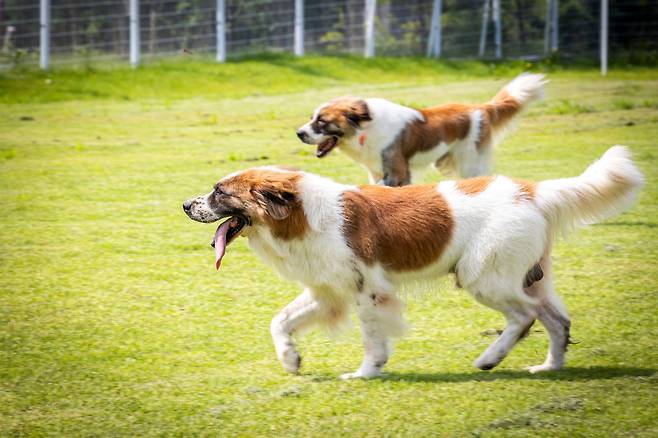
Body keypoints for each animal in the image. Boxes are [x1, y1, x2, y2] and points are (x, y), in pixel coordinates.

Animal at [183, 146, 640, 376]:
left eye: (219, 192)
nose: (186, 205)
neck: (303, 215)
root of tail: (532, 191)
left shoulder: (369, 291)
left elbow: (372, 338)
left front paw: (366, 372)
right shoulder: (328, 291)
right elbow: (279, 321)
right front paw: (291, 359)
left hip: (482, 278)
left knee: (524, 317)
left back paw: (490, 359)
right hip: (529, 279)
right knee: (557, 321)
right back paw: (549, 367)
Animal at [296, 73, 544, 185]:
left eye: (322, 121)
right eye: (312, 118)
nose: (299, 133)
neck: (365, 128)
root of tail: (479, 107)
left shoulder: (397, 172)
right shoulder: (376, 172)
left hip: (470, 163)